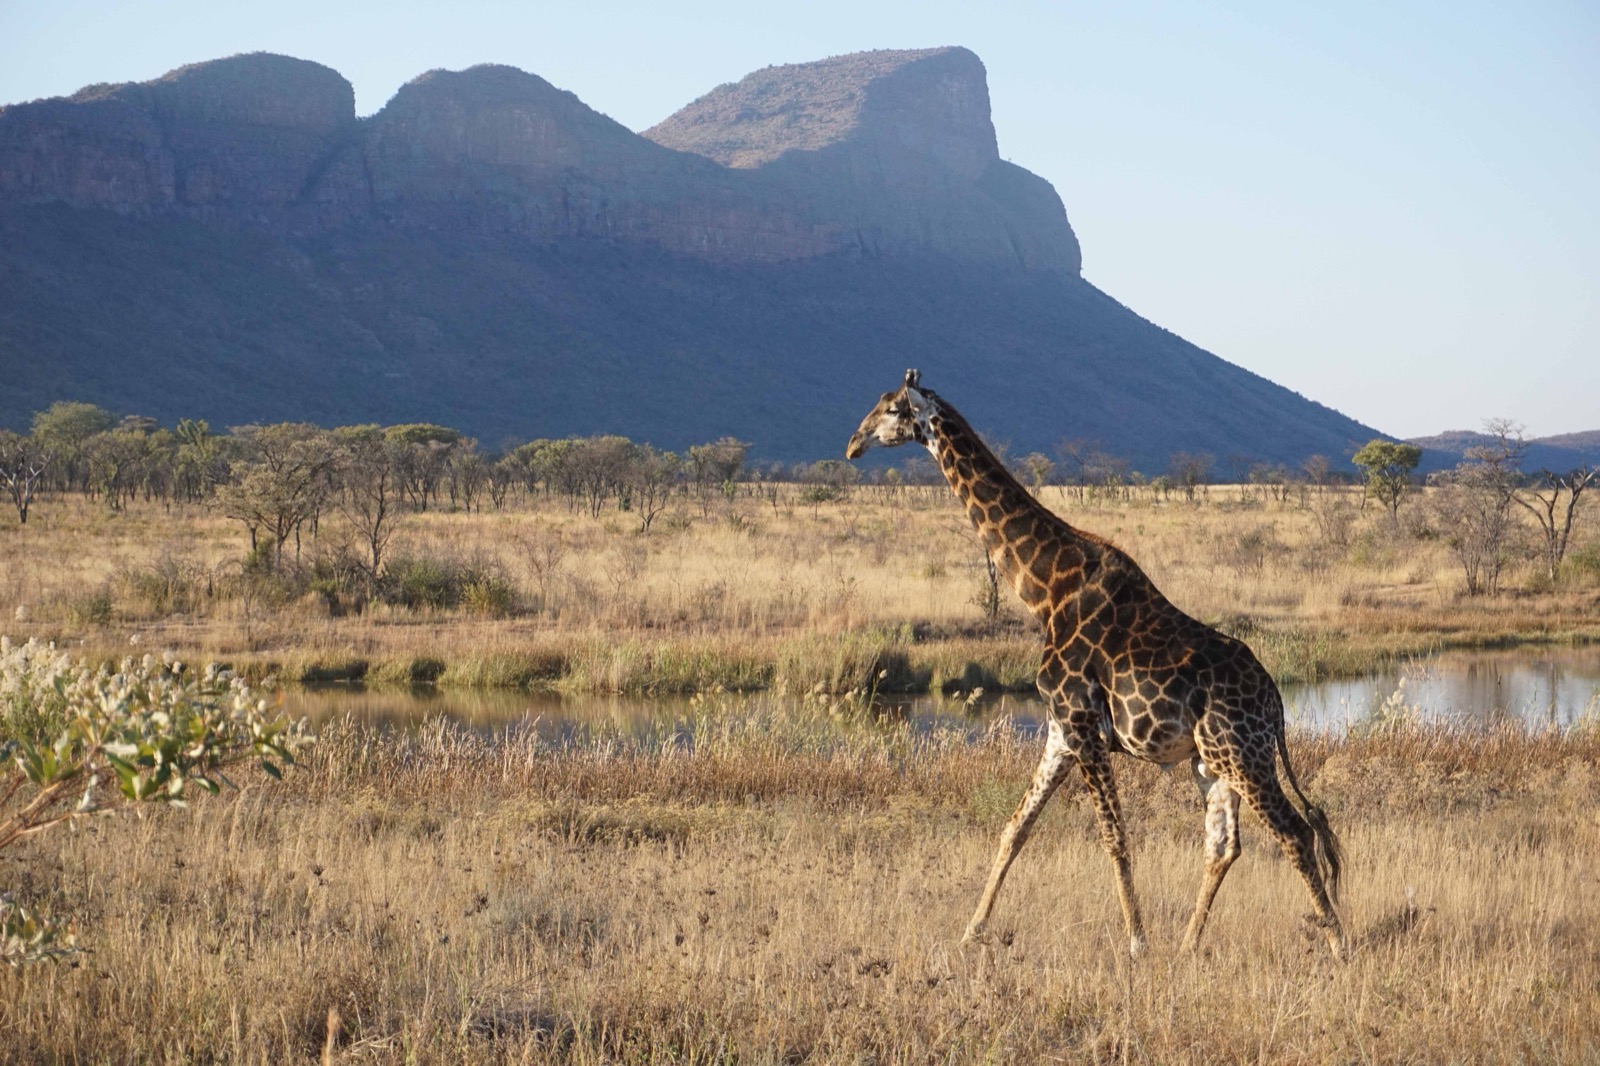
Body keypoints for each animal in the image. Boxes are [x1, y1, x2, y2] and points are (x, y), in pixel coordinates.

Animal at [845, 369, 1346, 959]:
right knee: (1224, 844)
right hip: (1212, 761)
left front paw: (1137, 945)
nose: (852, 444)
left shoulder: (1083, 726)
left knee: (1295, 831)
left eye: (893, 409)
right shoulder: (1060, 730)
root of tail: (1276, 704)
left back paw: (1337, 942)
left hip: (1242, 753)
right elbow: (1016, 827)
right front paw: (970, 933)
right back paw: (1187, 947)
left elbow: (1114, 834)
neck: (1044, 590)